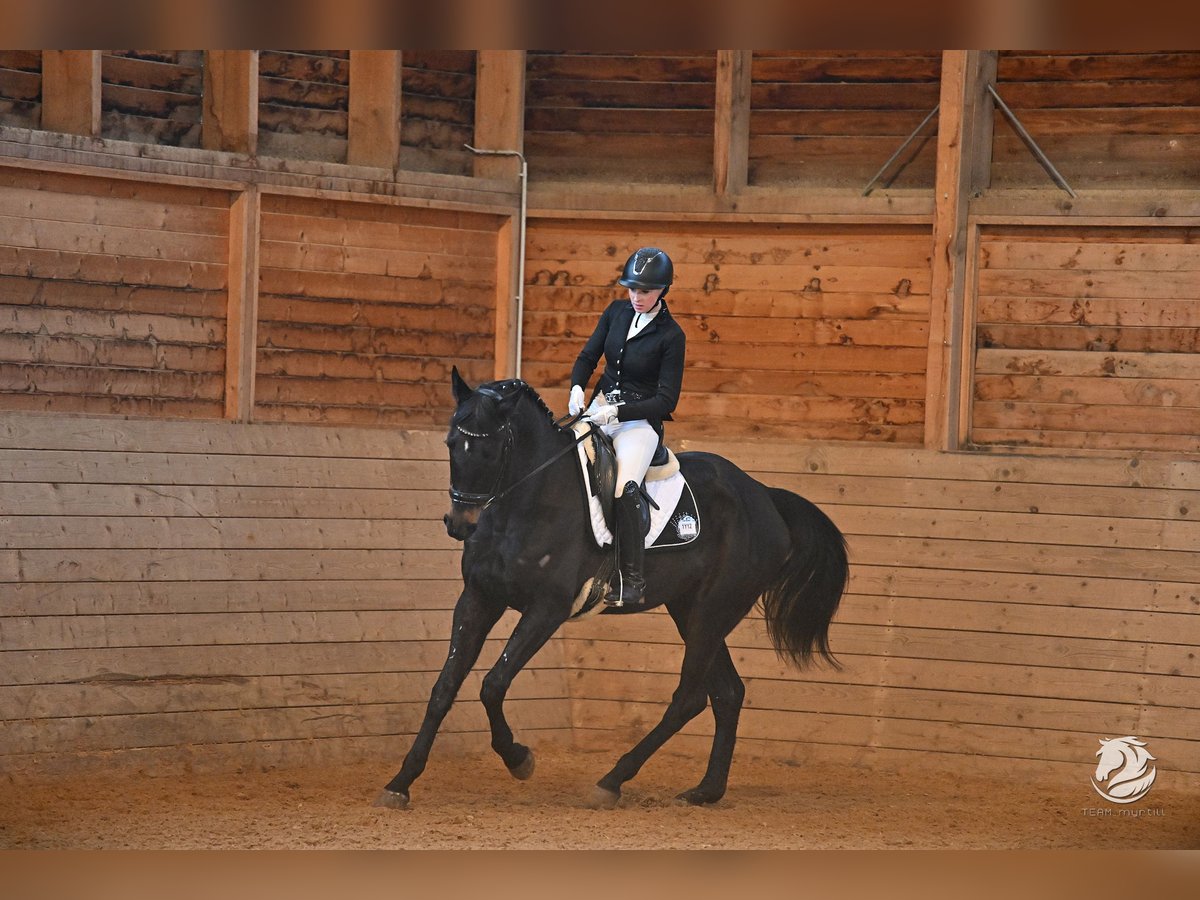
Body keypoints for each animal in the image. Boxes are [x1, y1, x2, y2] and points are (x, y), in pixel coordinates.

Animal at [375, 369, 849, 809]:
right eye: (451, 443)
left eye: (491, 450)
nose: (460, 525)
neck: (527, 502)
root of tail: (764, 495)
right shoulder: (478, 598)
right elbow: (444, 688)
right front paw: (400, 782)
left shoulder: (547, 609)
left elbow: (492, 684)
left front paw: (518, 758)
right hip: (691, 610)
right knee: (727, 693)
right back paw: (705, 791)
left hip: (713, 611)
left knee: (690, 697)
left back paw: (611, 781)